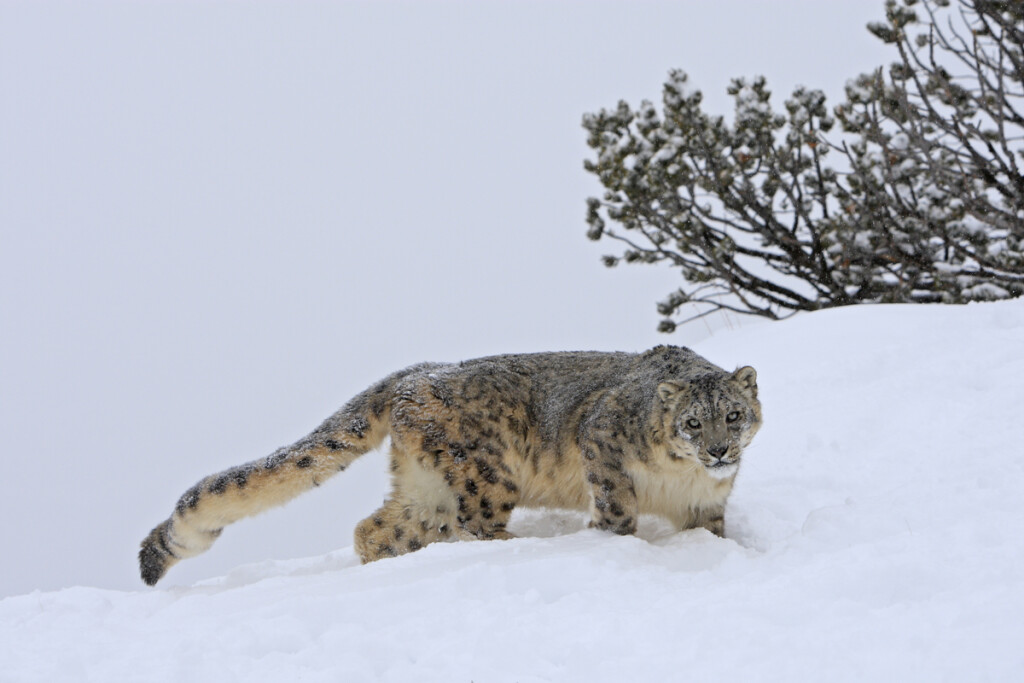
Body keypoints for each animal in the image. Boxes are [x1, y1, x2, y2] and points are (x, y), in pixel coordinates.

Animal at [138, 344, 761, 585]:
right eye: (693, 422)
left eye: (733, 415)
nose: (719, 452)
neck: (682, 480)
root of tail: (416, 374)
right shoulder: (602, 443)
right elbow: (618, 509)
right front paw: (614, 541)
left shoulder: (705, 504)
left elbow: (712, 531)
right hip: (486, 472)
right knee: (477, 522)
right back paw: (521, 548)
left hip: (427, 489)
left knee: (376, 527)